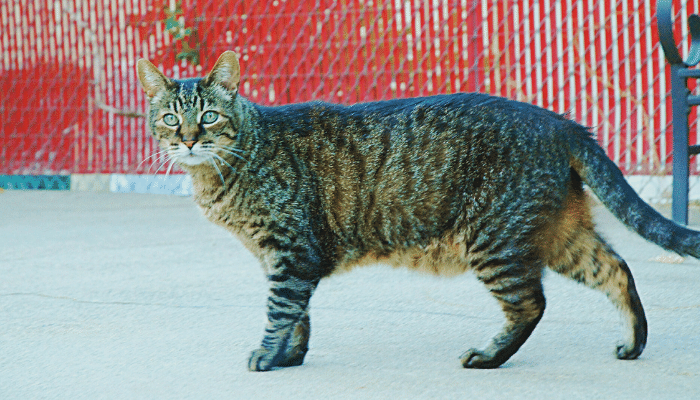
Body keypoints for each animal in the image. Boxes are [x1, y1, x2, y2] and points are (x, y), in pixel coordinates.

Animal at [137, 50, 700, 372]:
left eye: (210, 117)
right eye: (171, 118)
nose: (189, 140)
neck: (223, 175)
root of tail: (561, 121)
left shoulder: (290, 251)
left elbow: (281, 309)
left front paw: (267, 354)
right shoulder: (284, 255)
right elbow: (298, 315)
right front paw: (290, 357)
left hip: (496, 239)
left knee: (531, 303)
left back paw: (488, 356)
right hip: (560, 236)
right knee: (617, 270)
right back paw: (633, 343)